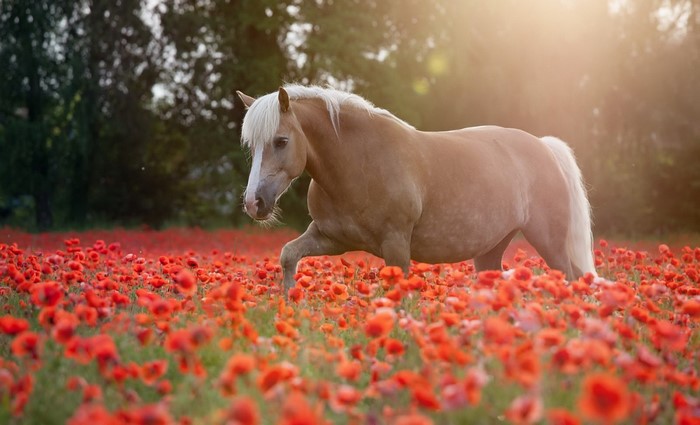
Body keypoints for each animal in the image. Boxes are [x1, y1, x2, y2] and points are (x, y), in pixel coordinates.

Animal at [236, 84, 595, 294]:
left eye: (281, 141)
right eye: (251, 145)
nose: (254, 203)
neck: (360, 163)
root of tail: (544, 146)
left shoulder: (396, 245)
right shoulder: (331, 239)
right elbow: (288, 255)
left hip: (548, 241)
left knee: (569, 277)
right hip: (491, 250)